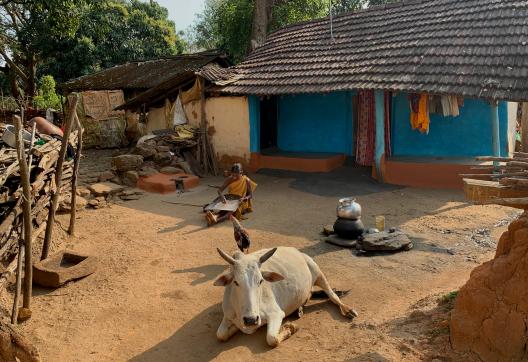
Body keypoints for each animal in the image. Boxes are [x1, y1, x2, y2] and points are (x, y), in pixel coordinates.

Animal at [212, 247, 356, 346]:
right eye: (236, 282)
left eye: (261, 281)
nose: (251, 320)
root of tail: (295, 250)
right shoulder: (228, 315)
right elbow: (220, 335)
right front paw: (236, 328)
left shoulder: (276, 313)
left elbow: (272, 339)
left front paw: (290, 328)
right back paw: (300, 308)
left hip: (317, 272)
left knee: (332, 295)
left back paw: (348, 310)